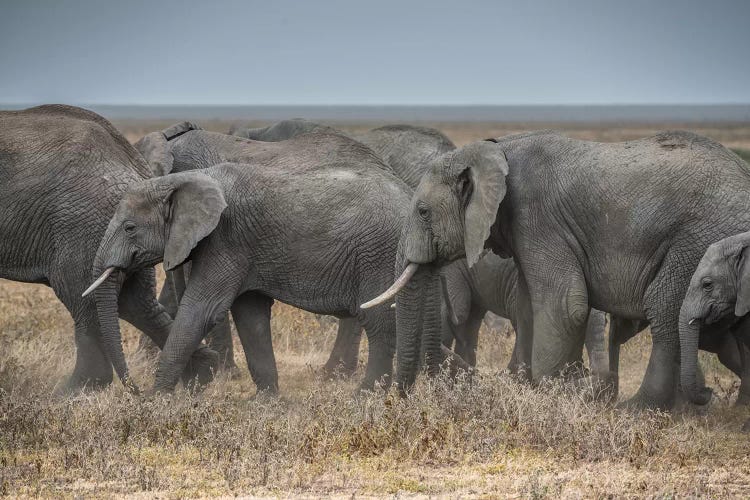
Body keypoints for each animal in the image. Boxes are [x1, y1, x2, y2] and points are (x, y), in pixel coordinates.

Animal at [0, 105, 217, 392]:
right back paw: (200, 378)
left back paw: (70, 393)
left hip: (82, 224)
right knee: (135, 303)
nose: (138, 391)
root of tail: (138, 166)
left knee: (86, 299)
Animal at [88, 130, 418, 394]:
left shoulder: (224, 239)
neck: (184, 180)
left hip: (378, 250)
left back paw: (365, 394)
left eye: (130, 228)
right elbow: (250, 316)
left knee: (378, 323)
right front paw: (266, 401)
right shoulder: (243, 248)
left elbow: (202, 309)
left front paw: (155, 401)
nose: (134, 390)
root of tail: (408, 194)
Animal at [368, 130, 750, 410]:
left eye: (422, 212)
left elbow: (566, 303)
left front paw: (562, 389)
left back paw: (638, 409)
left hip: (696, 240)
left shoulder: (537, 217)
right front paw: (527, 384)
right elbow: (527, 307)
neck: (493, 151)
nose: (398, 399)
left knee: (665, 310)